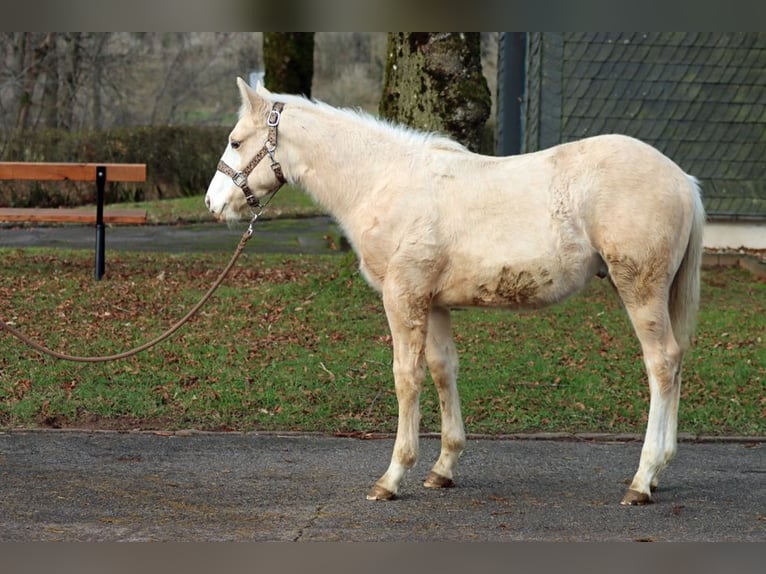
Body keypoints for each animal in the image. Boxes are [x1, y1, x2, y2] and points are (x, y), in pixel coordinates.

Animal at [205, 78, 705, 505]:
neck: (383, 180)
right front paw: (442, 468)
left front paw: (392, 476)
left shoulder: (402, 297)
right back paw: (659, 471)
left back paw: (642, 478)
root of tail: (684, 181)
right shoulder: (434, 303)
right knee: (676, 360)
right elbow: (443, 371)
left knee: (661, 363)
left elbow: (406, 378)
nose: (213, 204)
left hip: (640, 288)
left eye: (236, 141)